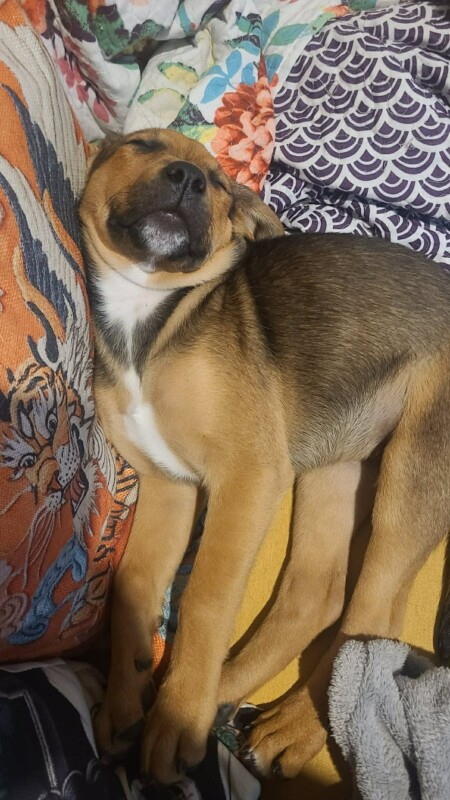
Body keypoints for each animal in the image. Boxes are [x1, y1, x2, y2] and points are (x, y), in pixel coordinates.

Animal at [79, 128, 450, 785]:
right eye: (142, 145)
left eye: (220, 185)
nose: (187, 179)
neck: (148, 318)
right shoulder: (169, 488)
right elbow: (134, 585)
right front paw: (125, 702)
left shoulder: (248, 477)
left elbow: (204, 598)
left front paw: (176, 717)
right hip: (337, 462)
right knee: (319, 592)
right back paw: (226, 697)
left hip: (414, 466)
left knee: (376, 620)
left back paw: (288, 725)